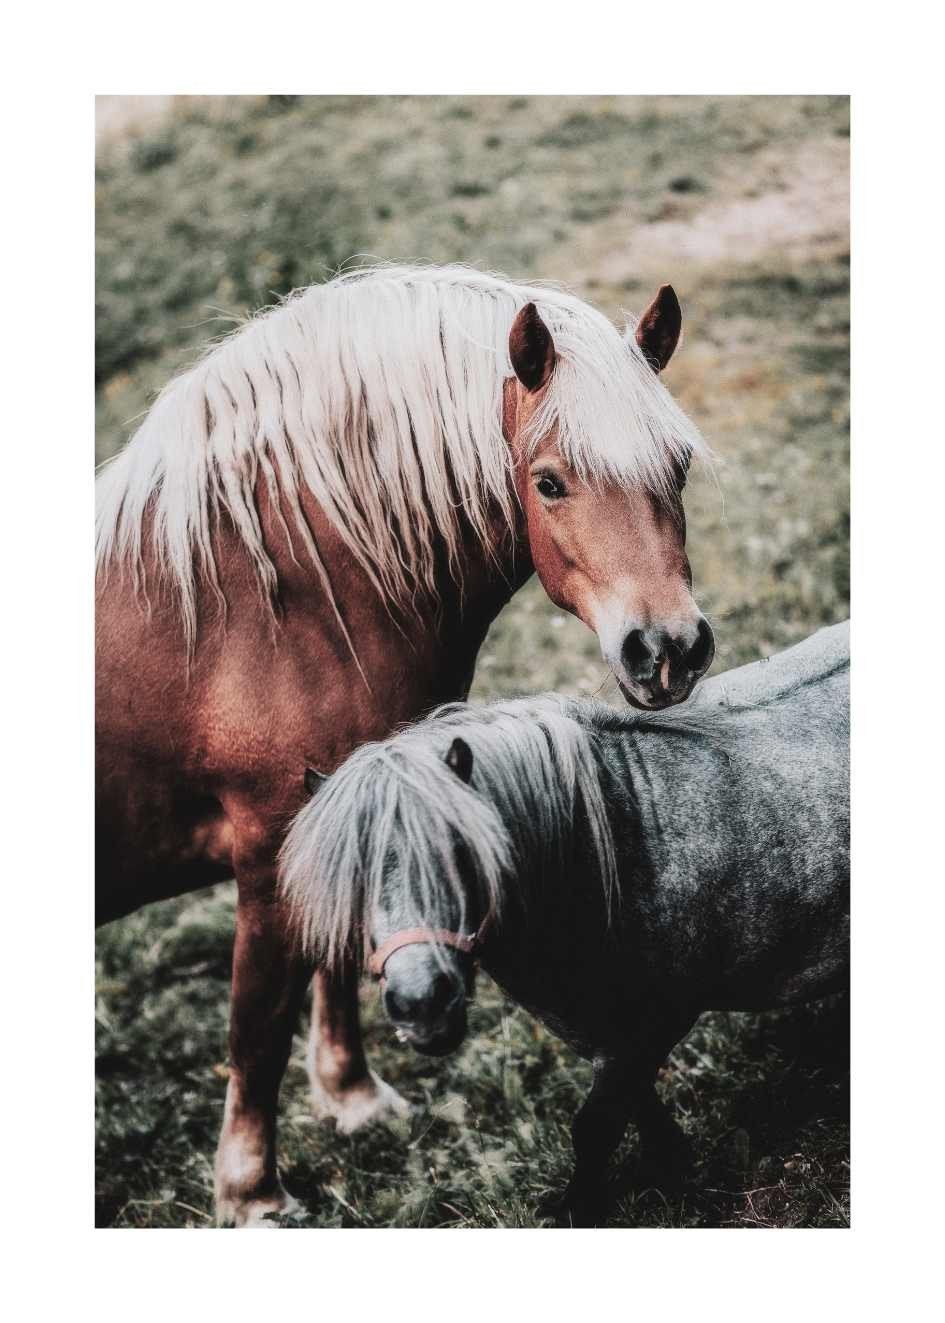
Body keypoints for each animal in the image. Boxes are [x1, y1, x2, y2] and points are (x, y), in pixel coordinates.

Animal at [95, 262, 715, 1226]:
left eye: (676, 465)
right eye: (549, 482)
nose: (669, 651)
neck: (281, 594)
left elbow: (336, 959)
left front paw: (351, 1098)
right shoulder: (266, 848)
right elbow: (256, 1023)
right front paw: (252, 1189)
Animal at [281, 621, 849, 1226]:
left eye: (462, 851)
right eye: (351, 874)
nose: (421, 1005)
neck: (612, 845)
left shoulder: (654, 1023)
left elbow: (595, 1127)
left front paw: (581, 1205)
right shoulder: (603, 1033)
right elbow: (636, 1105)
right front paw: (672, 1163)